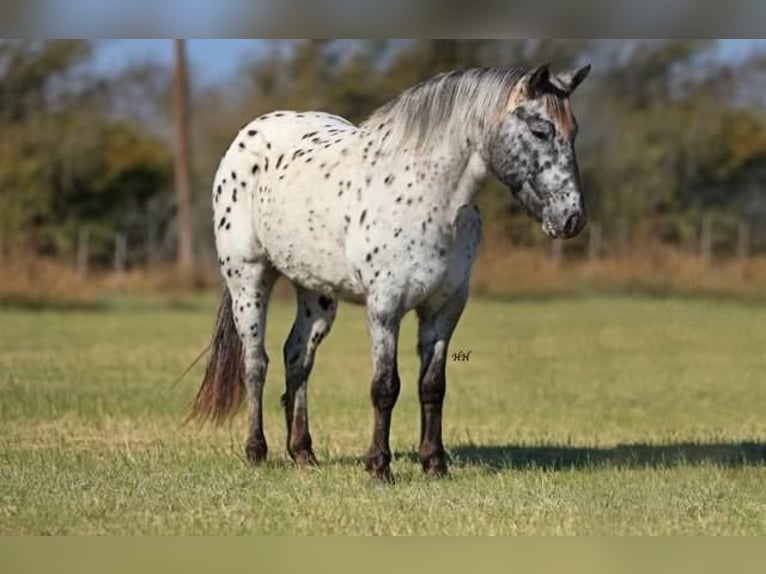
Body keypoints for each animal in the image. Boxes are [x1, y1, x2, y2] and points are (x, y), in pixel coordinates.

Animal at [190, 64, 592, 482]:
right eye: (540, 130)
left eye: (574, 131)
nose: (572, 219)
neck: (428, 198)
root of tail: (248, 134)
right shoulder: (385, 308)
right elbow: (385, 386)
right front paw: (379, 466)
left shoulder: (443, 309)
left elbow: (432, 386)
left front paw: (435, 463)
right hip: (249, 280)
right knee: (256, 363)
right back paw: (256, 451)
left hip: (316, 294)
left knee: (297, 357)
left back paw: (302, 452)